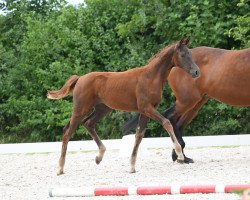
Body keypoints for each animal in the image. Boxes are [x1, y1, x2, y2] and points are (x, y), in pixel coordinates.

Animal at [47, 38, 199, 175]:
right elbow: (167, 123)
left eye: (190, 54)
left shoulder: (145, 111)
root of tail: (80, 79)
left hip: (102, 109)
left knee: (88, 123)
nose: (196, 72)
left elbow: (139, 135)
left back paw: (99, 157)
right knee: (67, 131)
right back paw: (60, 168)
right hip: (80, 109)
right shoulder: (146, 108)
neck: (151, 77)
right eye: (183, 55)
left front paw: (131, 166)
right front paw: (180, 154)